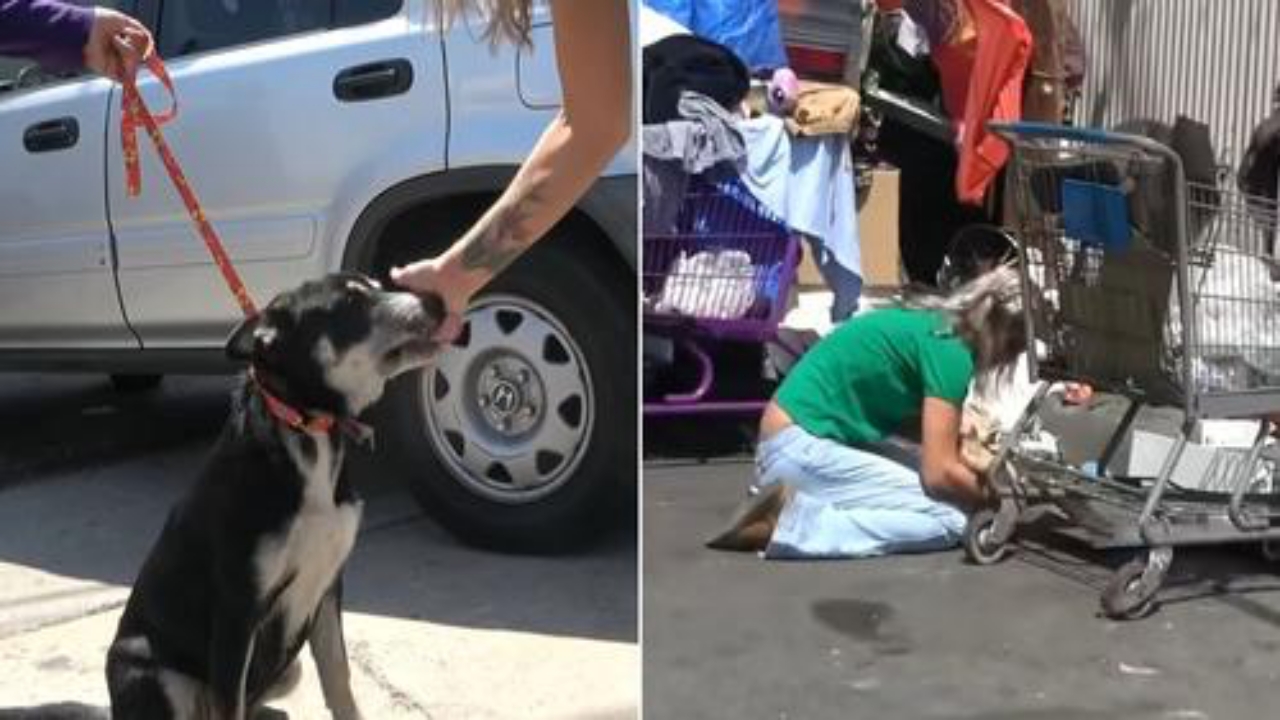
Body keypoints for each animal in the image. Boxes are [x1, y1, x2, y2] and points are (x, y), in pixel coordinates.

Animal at [104, 271, 445, 712]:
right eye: (351, 302)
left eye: (379, 285)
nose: (438, 302)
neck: (309, 428)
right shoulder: (236, 612)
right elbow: (230, 705)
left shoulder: (328, 587)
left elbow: (339, 678)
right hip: (157, 673)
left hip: (289, 670)